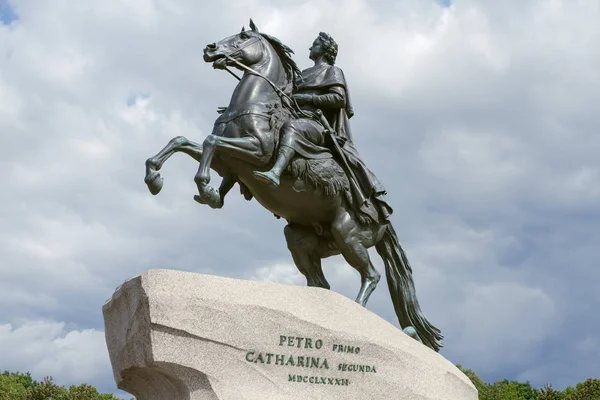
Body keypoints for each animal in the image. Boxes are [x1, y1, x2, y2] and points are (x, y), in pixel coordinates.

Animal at [143, 19, 442, 350]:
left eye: (243, 37)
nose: (210, 49)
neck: (257, 103)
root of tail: (384, 219)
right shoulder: (227, 161)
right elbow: (182, 141)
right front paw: (155, 177)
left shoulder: (256, 153)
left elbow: (209, 142)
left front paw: (204, 186)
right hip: (301, 239)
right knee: (320, 283)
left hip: (348, 234)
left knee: (372, 276)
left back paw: (358, 319)